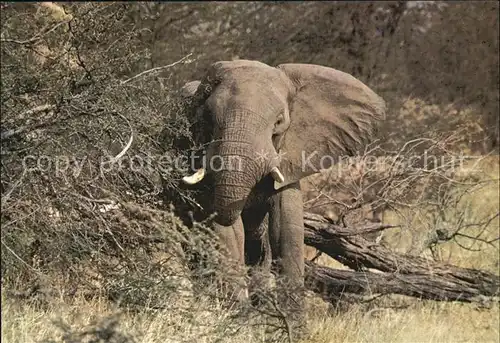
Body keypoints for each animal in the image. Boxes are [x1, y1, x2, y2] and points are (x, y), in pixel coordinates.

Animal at [177, 60, 386, 318]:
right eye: (207, 119)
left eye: (278, 123)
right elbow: (227, 232)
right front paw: (240, 320)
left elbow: (286, 232)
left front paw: (290, 324)